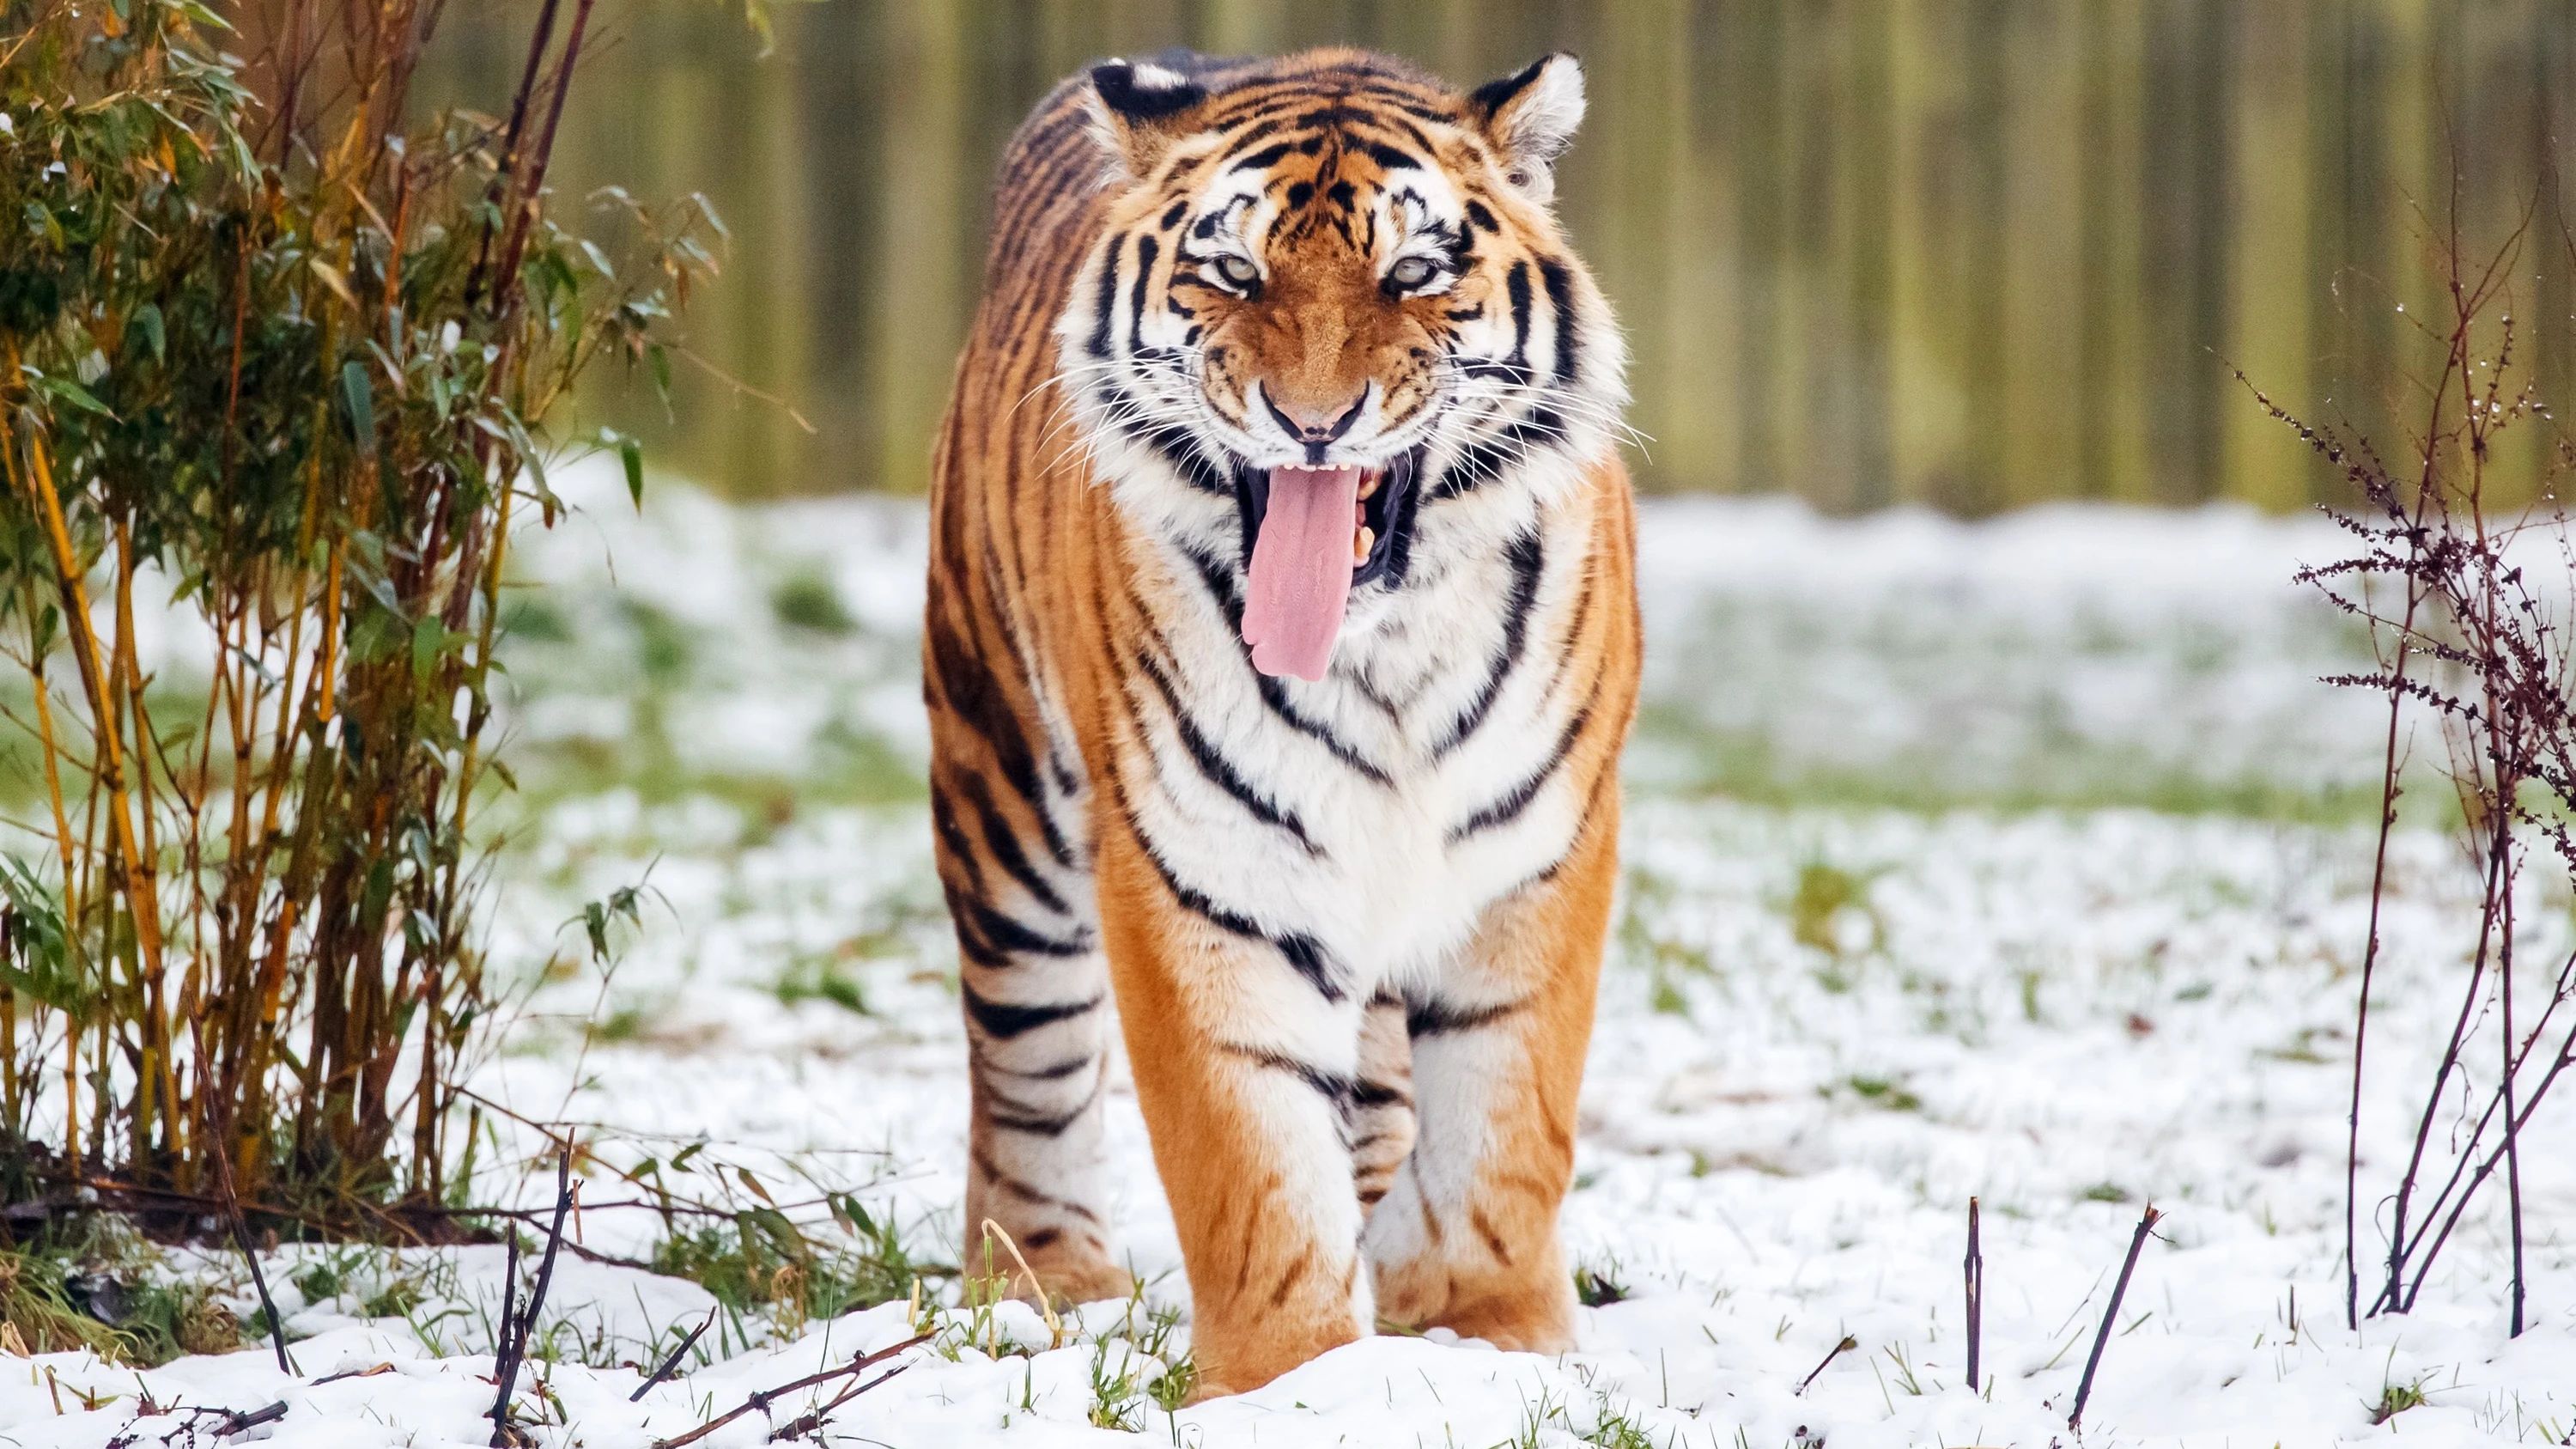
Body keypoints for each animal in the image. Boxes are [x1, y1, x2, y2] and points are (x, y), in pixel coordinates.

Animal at [923, 45, 1640, 1398]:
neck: (1383, 649)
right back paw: (1048, 1279)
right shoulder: (1202, 871)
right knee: (1026, 1059)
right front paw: (1293, 1381)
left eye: (1413, 273)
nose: (1315, 421)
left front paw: (1488, 1333)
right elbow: (1250, 1159)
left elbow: (1505, 1126)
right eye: (1233, 272)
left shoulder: (1538, 854)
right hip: (1001, 787)